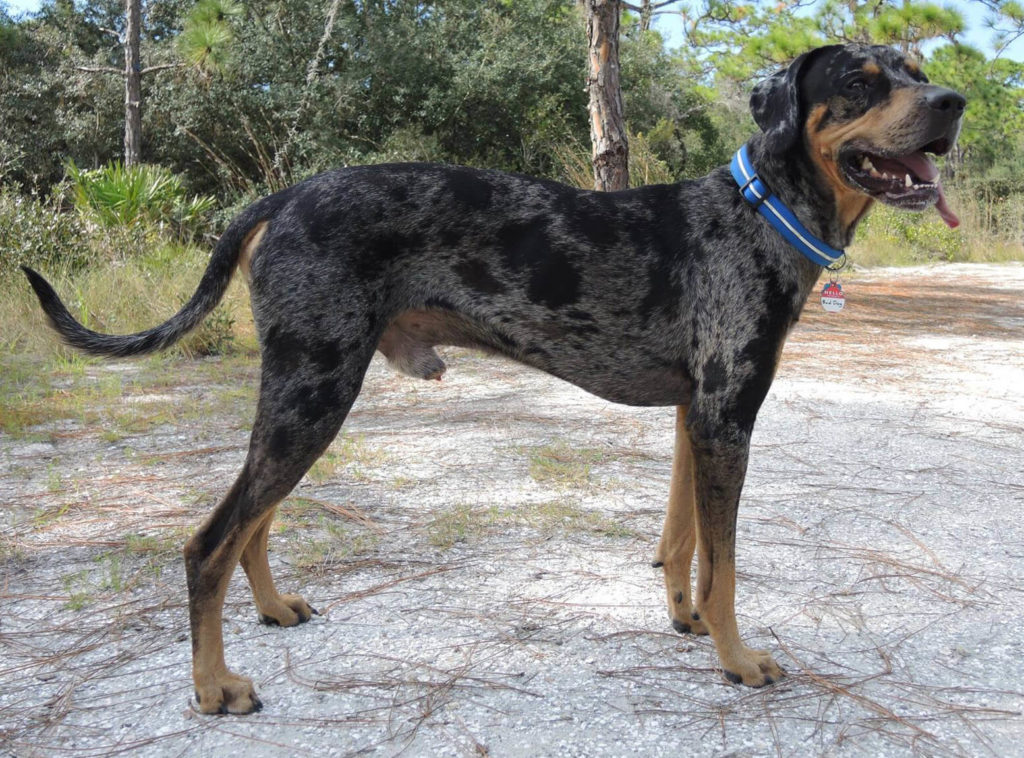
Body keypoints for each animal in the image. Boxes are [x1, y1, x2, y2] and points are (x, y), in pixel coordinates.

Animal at [25, 44, 966, 712]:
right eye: (862, 81)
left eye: (917, 73)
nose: (952, 103)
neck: (759, 211)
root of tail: (283, 197)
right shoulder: (727, 417)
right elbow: (726, 563)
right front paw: (736, 659)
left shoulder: (694, 416)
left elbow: (683, 543)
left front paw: (686, 621)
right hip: (313, 395)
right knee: (209, 543)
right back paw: (213, 686)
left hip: (304, 398)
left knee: (252, 522)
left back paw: (273, 607)